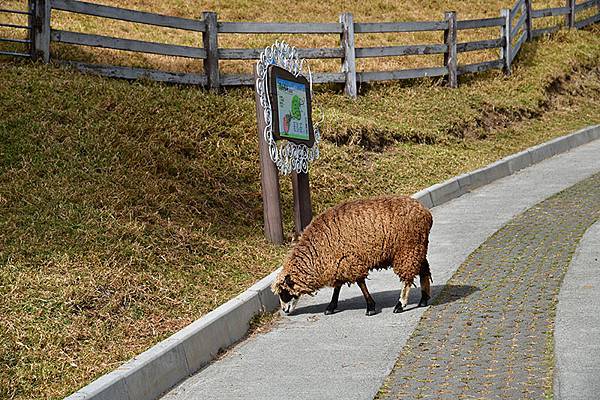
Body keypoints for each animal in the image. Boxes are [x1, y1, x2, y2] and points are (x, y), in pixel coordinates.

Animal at [270, 196, 432, 316]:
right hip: (418, 247)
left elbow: (360, 283)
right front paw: (331, 306)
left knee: (407, 278)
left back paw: (400, 304)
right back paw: (423, 299)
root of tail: (425, 213)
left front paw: (370, 307)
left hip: (407, 249)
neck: (316, 253)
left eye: (284, 292)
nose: (285, 310)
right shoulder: (339, 262)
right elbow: (337, 287)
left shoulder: (349, 261)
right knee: (424, 270)